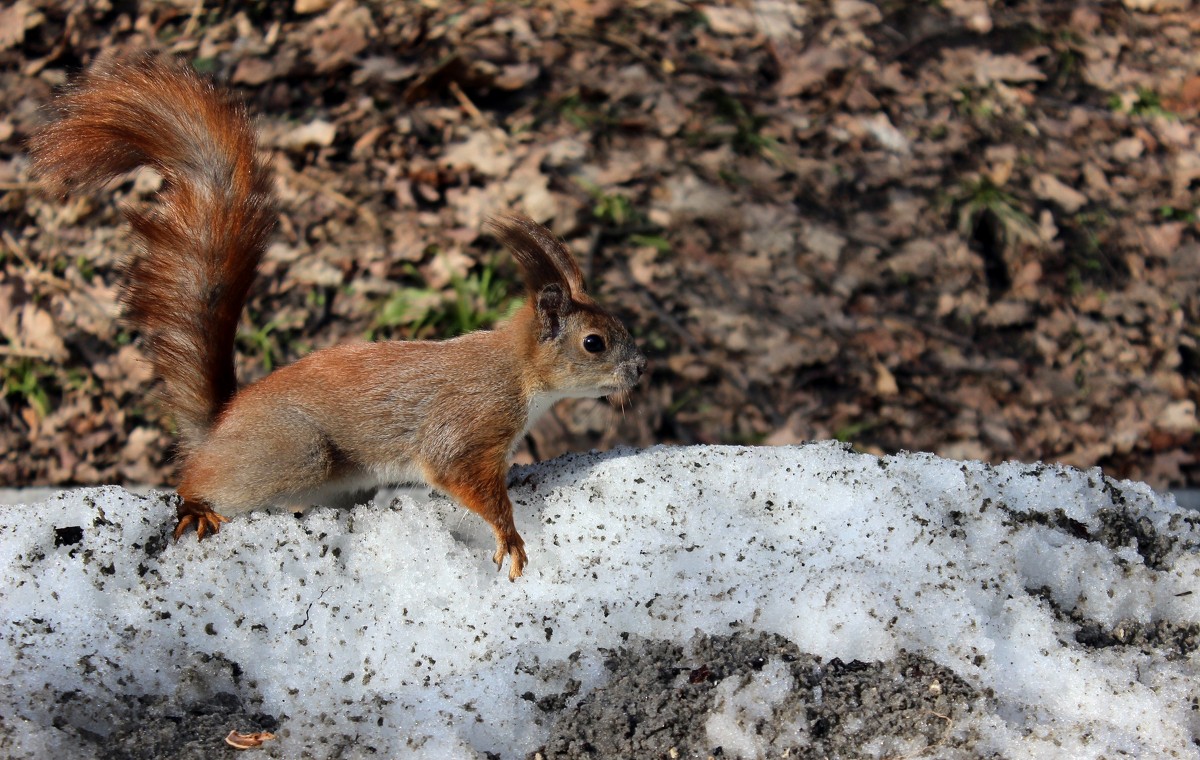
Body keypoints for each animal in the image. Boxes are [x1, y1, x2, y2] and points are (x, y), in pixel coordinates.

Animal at [30, 54, 648, 581]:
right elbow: (462, 478)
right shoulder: (467, 426)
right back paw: (197, 508)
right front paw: (510, 538)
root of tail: (218, 428)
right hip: (294, 453)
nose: (640, 369)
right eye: (594, 343)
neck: (518, 373)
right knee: (198, 481)